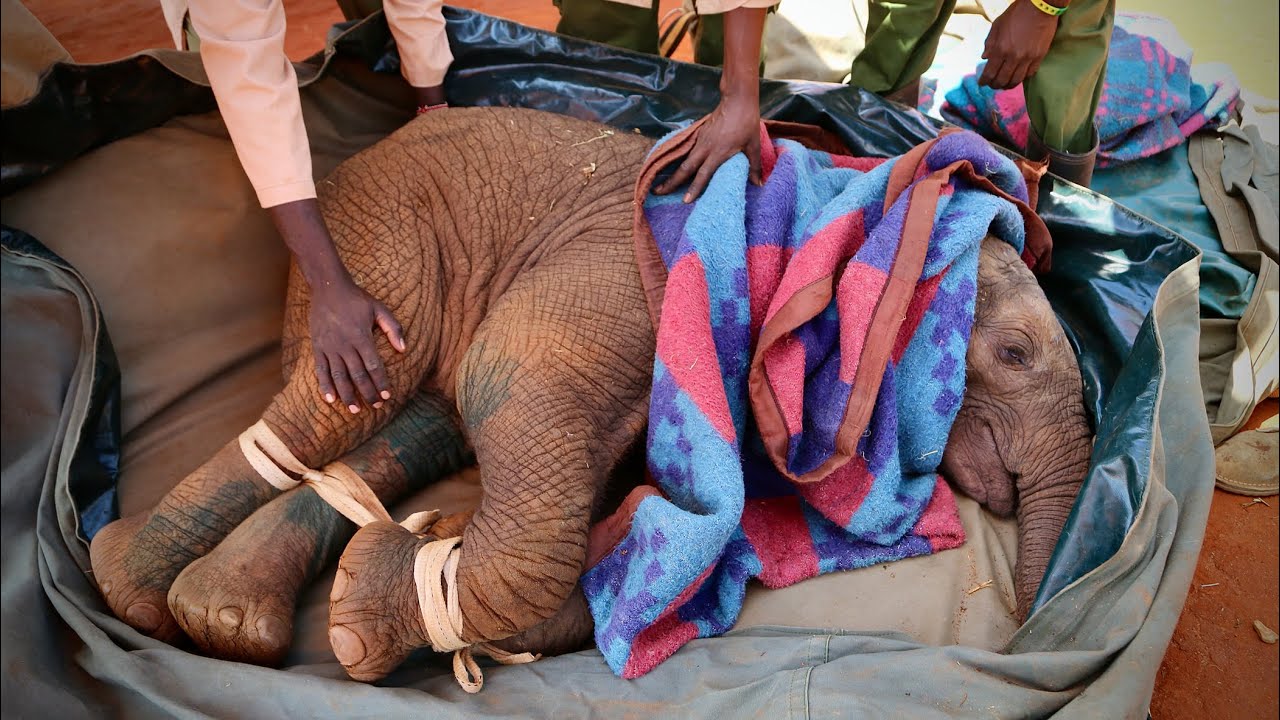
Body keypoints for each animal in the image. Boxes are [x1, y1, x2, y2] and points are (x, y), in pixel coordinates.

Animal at [87, 106, 1092, 683]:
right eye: (1010, 354)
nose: (1027, 627)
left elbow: (629, 537)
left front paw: (386, 586)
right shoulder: (644, 291)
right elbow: (511, 379)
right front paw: (380, 603)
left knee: (419, 423)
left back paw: (221, 615)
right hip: (382, 231)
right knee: (353, 400)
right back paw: (138, 590)